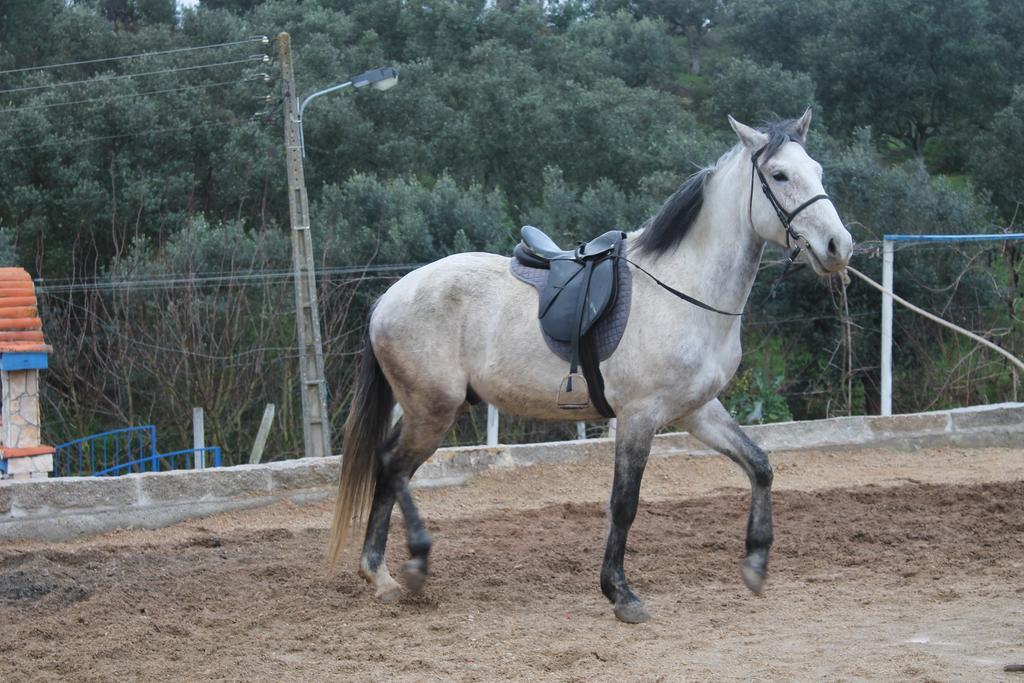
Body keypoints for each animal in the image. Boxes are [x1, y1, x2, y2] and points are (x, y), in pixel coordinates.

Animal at [329, 111, 856, 626]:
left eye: (818, 171)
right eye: (779, 174)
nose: (839, 247)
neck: (683, 289)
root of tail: (389, 296)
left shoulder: (696, 411)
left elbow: (760, 465)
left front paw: (756, 564)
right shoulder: (640, 416)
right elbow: (624, 504)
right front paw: (620, 593)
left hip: (431, 409)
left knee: (389, 468)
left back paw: (381, 575)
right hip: (433, 410)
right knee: (392, 466)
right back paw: (409, 564)